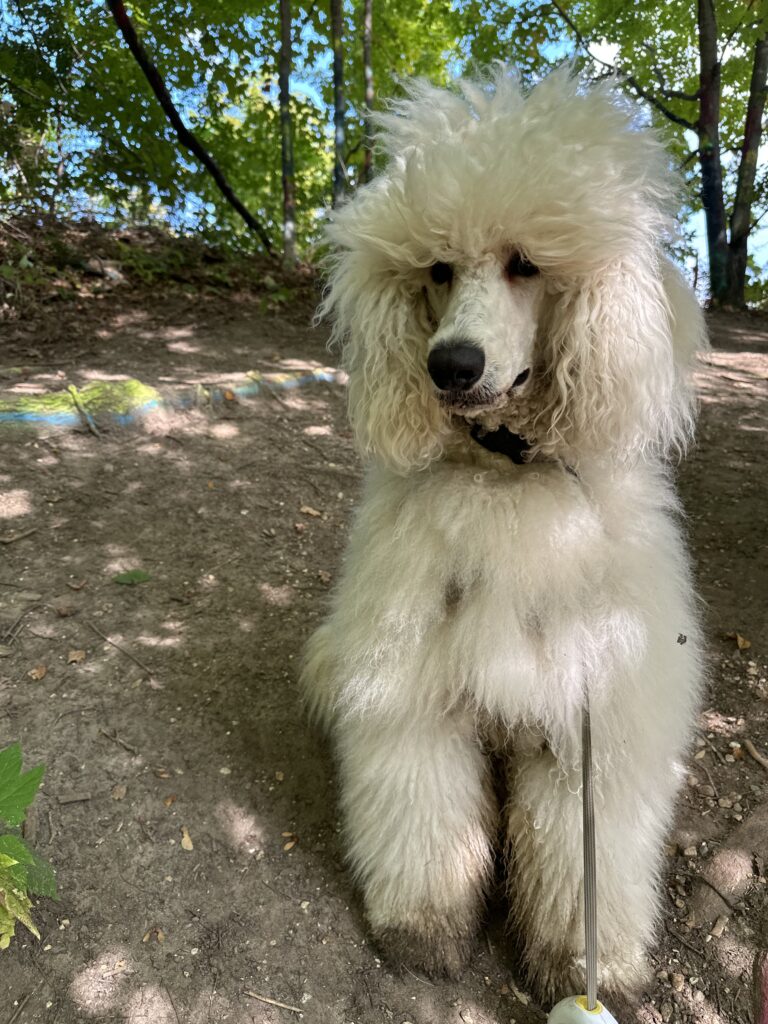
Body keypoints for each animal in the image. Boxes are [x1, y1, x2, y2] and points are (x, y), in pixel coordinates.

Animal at [301, 67, 706, 1005]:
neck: (508, 476)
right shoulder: (412, 700)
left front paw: (586, 967)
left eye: (527, 263)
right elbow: (425, 823)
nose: (449, 366)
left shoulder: (593, 729)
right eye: (438, 269)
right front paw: (424, 931)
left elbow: (585, 857)